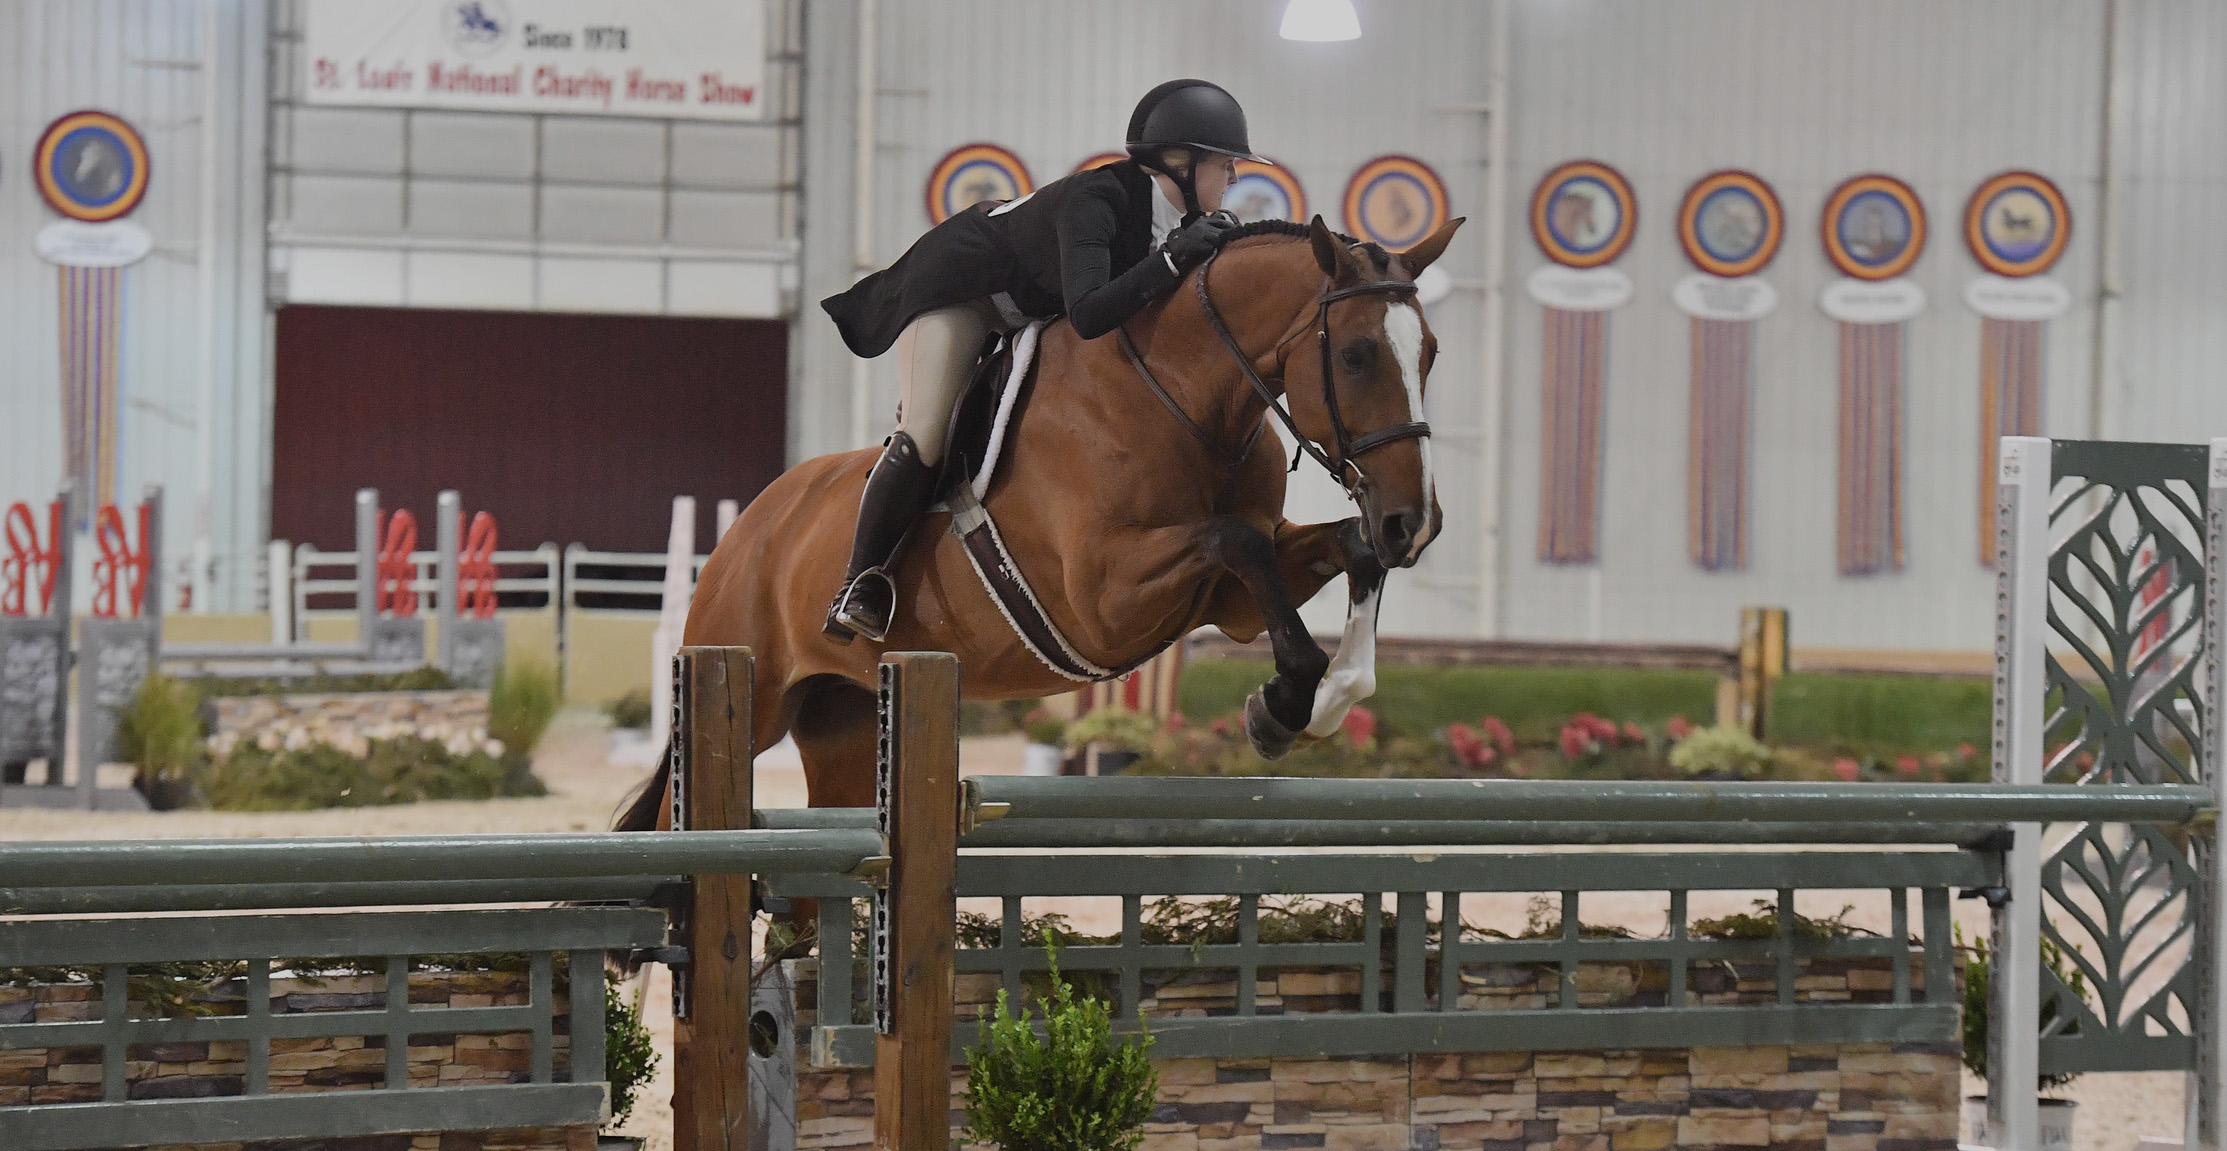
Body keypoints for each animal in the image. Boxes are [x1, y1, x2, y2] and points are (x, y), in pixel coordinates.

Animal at [618, 214, 1461, 826]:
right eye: (1354, 355)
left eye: (1429, 353)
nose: (1414, 523)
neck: (1185, 395)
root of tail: (749, 526)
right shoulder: (1102, 600)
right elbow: (1239, 538)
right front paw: (1285, 701)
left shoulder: (1227, 602)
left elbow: (1339, 551)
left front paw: (1321, 698)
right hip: (747, 689)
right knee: (672, 819)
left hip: (843, 721)